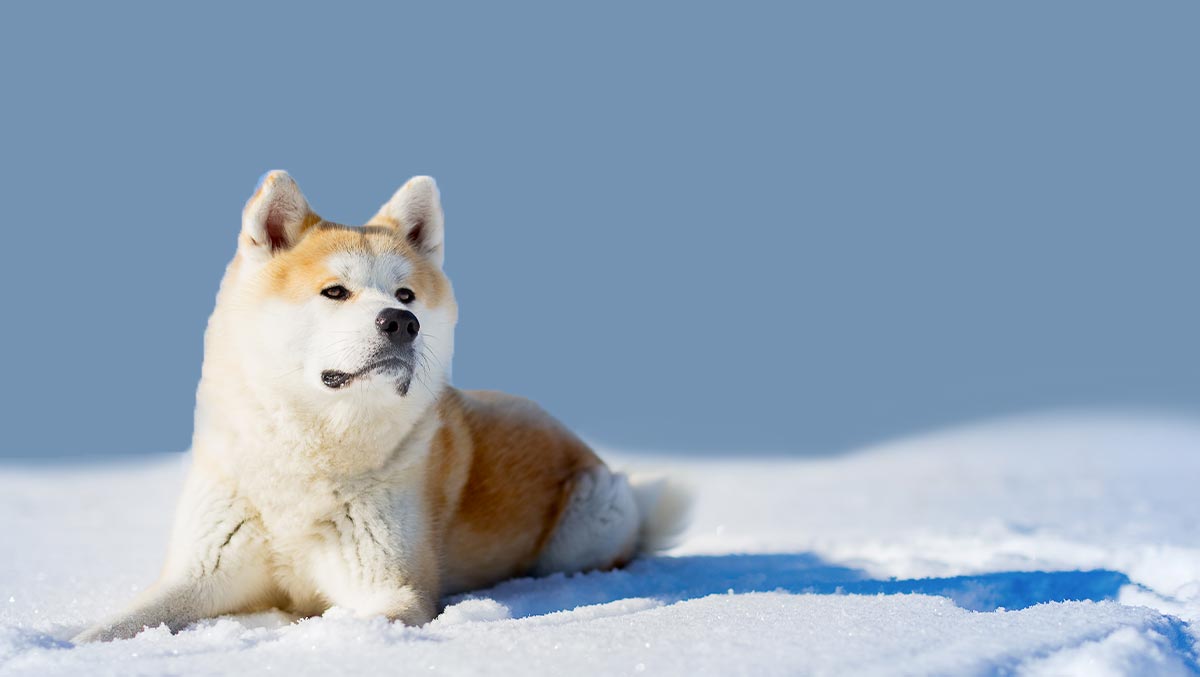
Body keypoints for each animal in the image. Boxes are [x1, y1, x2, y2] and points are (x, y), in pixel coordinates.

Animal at [75, 171, 691, 643]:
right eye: (335, 292)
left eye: (406, 295)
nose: (402, 323)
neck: (308, 451)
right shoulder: (200, 572)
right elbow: (121, 623)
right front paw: (77, 645)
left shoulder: (391, 590)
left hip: (588, 525)